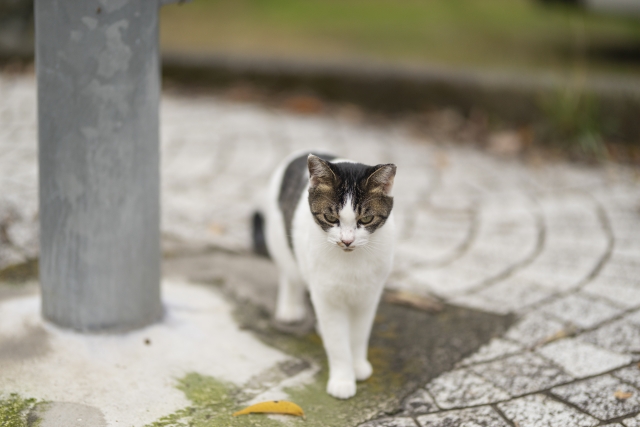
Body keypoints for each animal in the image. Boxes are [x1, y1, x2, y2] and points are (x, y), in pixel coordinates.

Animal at [254, 152, 396, 400]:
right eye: (331, 217)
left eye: (366, 220)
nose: (347, 240)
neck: (351, 261)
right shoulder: (327, 297)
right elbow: (337, 342)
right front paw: (342, 379)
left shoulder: (368, 296)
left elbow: (359, 334)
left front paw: (358, 365)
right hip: (281, 242)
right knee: (290, 274)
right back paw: (289, 308)